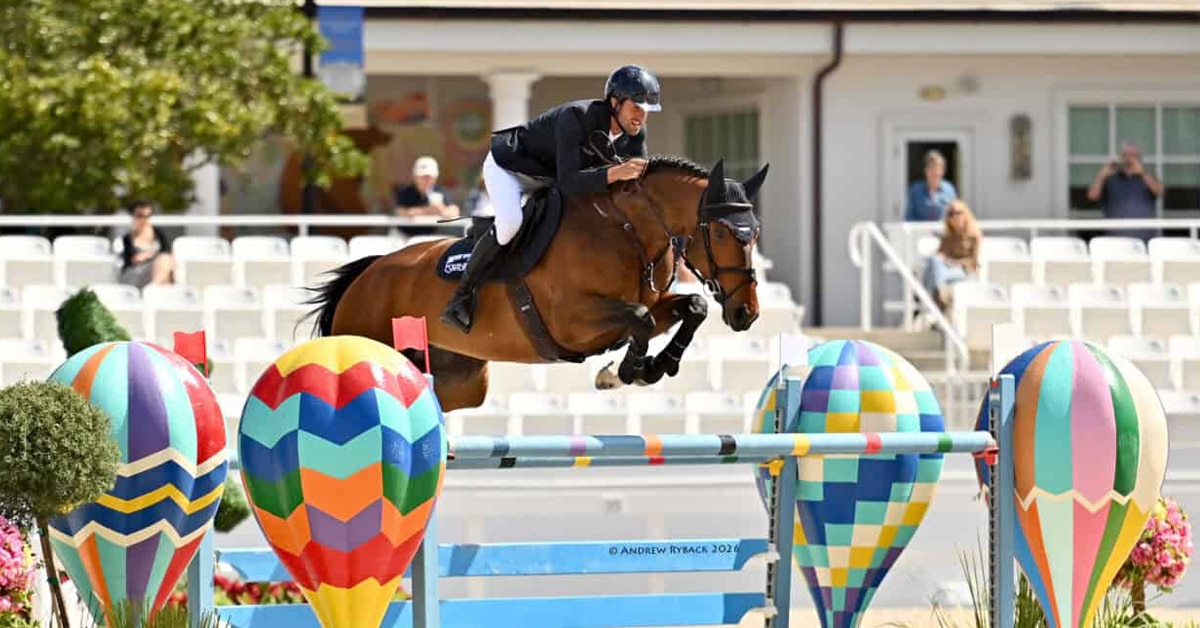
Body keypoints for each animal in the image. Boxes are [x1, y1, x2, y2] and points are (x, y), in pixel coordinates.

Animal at [304, 154, 770, 412]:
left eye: (755, 233)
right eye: (723, 233)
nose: (747, 314)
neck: (628, 231)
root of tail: (366, 274)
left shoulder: (646, 306)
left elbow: (691, 307)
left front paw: (647, 369)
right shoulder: (572, 323)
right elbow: (639, 318)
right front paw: (627, 371)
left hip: (464, 380)